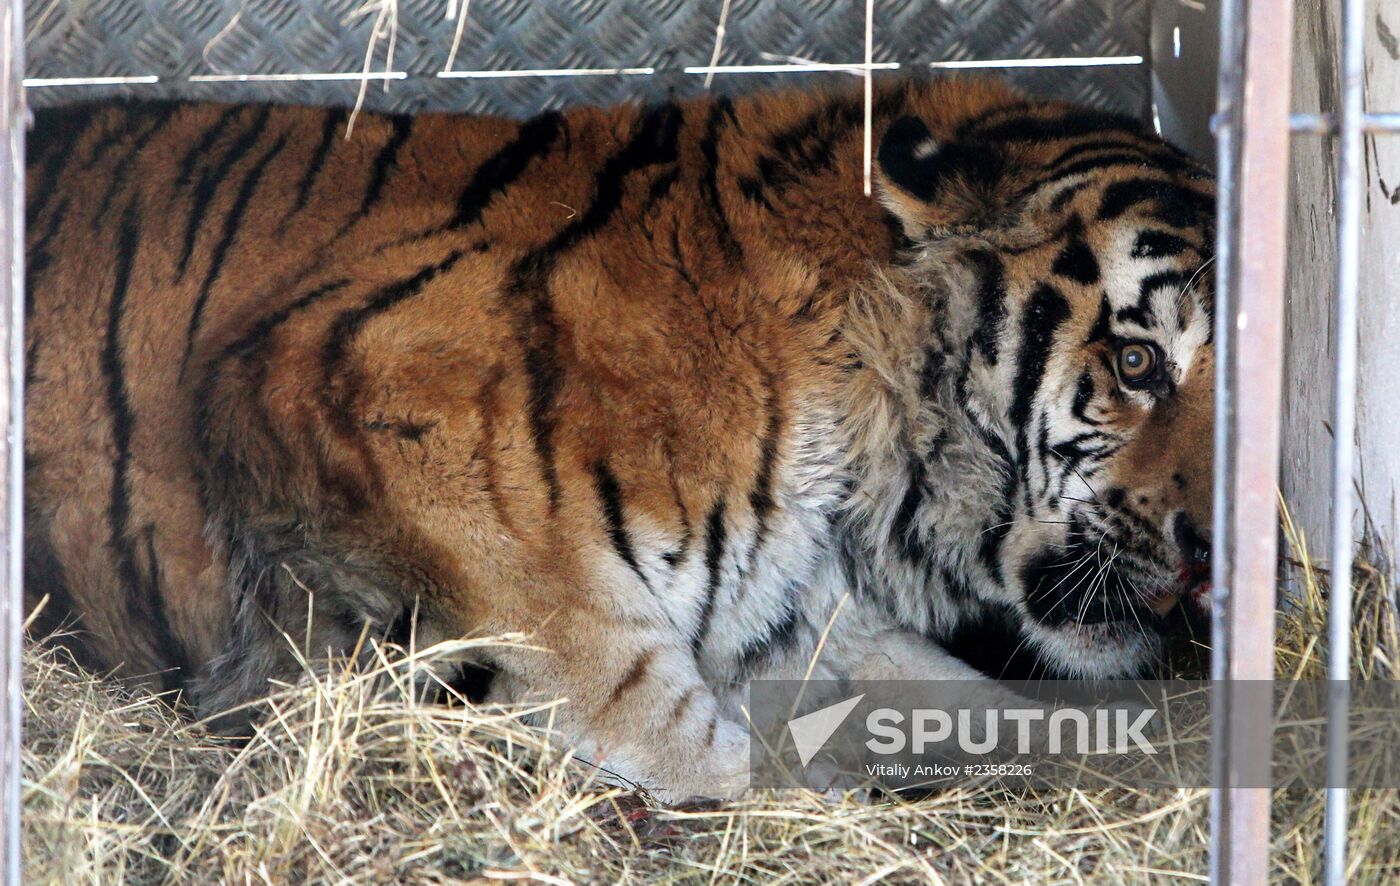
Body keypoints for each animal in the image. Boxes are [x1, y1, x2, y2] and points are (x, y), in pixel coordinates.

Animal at [21, 79, 1215, 800]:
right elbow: (669, 718)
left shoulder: (801, 620)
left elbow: (1004, 713)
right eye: (1137, 363)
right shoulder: (347, 383)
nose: (1212, 559)